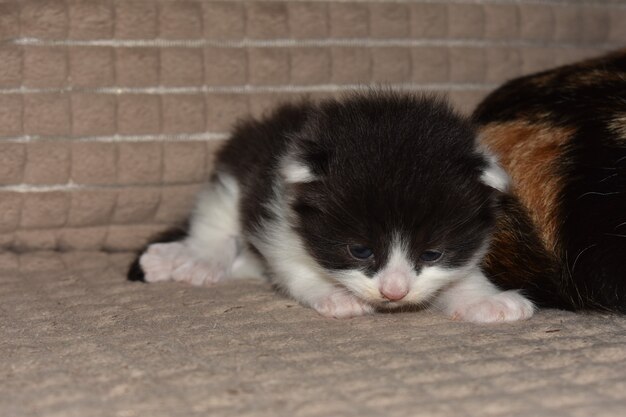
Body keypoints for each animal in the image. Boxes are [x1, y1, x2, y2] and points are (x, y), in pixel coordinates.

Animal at [127, 92, 532, 322]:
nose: (394, 293)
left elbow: (462, 276)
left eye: (432, 254)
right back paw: (195, 259)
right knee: (216, 216)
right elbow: (294, 268)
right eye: (360, 250)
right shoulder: (275, 213)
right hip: (237, 172)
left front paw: (487, 300)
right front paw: (337, 295)